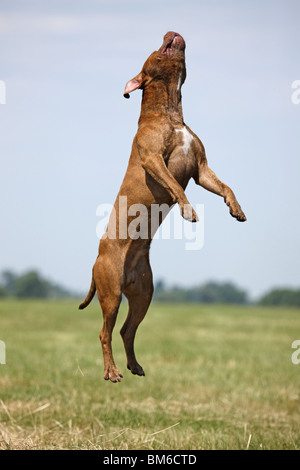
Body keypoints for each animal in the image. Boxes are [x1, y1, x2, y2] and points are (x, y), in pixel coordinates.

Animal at [79, 32, 246, 382]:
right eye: (156, 50)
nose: (170, 32)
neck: (170, 112)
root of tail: (97, 259)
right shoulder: (154, 160)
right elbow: (174, 187)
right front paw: (188, 210)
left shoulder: (201, 169)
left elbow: (225, 186)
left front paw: (236, 208)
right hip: (111, 293)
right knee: (104, 332)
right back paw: (112, 372)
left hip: (143, 294)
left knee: (127, 331)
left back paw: (134, 365)